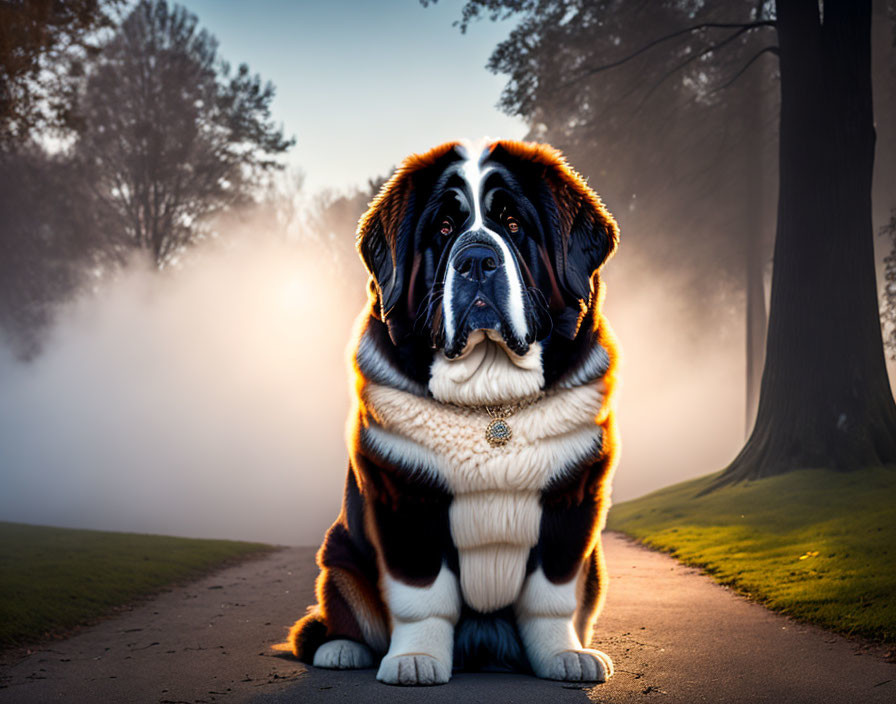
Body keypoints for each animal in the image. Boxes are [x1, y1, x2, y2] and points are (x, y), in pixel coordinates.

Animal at [290, 140, 620, 684]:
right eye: (444, 230)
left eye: (513, 224)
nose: (477, 260)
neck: (490, 397)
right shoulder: (404, 495)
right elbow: (421, 595)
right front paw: (415, 660)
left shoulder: (571, 498)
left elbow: (551, 594)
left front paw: (564, 657)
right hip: (340, 555)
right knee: (339, 608)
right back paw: (343, 649)